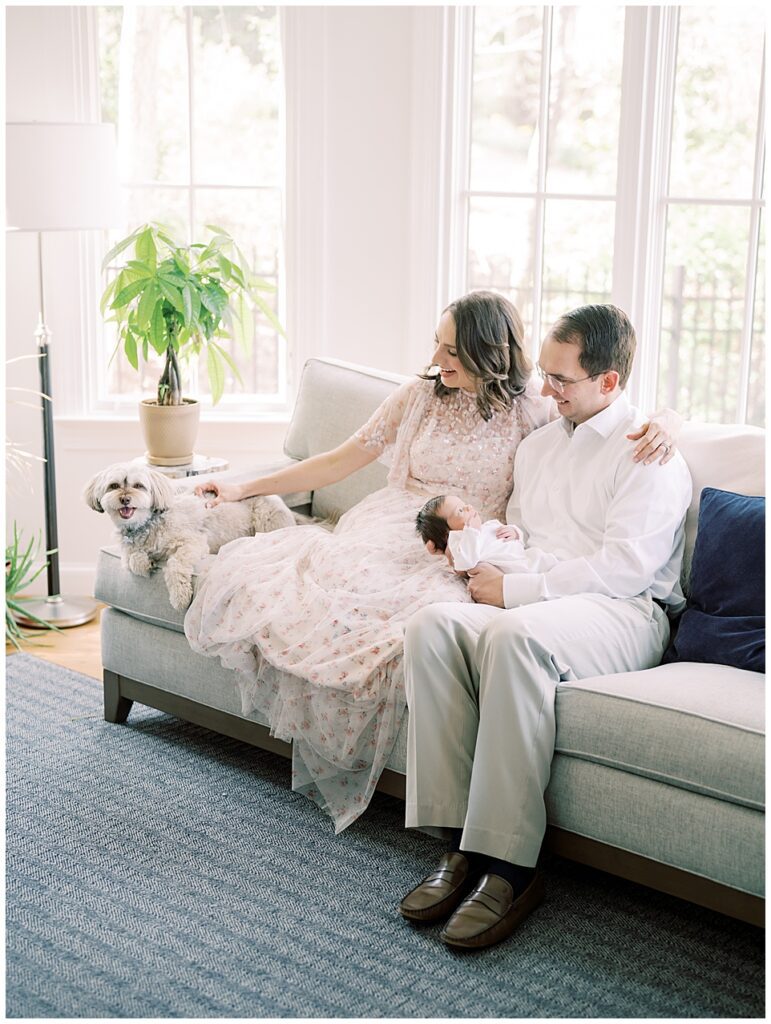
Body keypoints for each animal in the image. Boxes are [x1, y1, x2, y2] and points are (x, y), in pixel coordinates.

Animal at [83, 462, 294, 606]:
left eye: (138, 486)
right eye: (114, 486)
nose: (125, 499)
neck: (145, 524)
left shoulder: (192, 542)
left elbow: (175, 565)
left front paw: (180, 597)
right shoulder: (127, 552)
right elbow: (132, 559)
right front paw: (144, 564)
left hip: (265, 518)